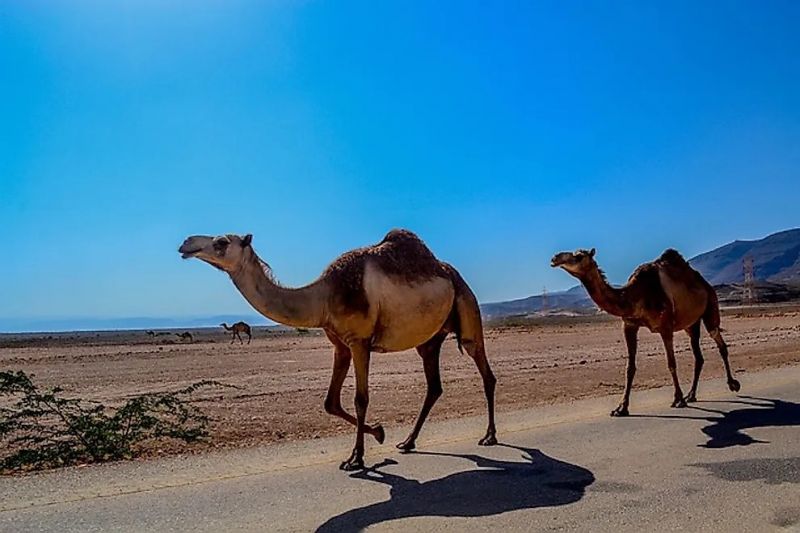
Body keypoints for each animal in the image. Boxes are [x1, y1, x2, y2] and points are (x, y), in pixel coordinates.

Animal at [179, 229, 497, 470]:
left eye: (222, 242)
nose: (186, 243)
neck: (324, 296)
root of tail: (451, 274)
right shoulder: (340, 345)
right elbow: (330, 402)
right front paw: (379, 433)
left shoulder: (359, 341)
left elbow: (361, 399)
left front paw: (357, 458)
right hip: (429, 340)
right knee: (434, 386)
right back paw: (408, 442)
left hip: (467, 307)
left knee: (485, 372)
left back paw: (489, 437)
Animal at [551, 248, 740, 416]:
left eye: (579, 256)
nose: (555, 258)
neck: (634, 296)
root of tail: (705, 284)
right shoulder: (629, 325)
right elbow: (630, 367)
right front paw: (621, 408)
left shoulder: (665, 327)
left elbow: (671, 363)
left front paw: (678, 399)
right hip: (691, 324)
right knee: (698, 357)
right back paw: (692, 395)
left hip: (711, 307)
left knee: (719, 342)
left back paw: (732, 384)